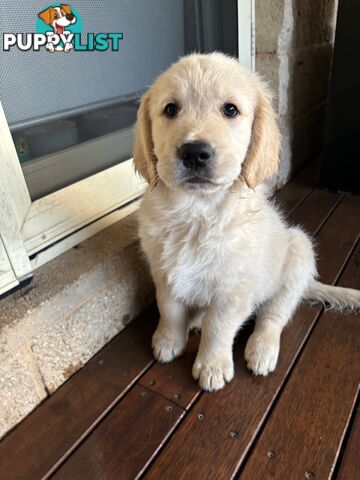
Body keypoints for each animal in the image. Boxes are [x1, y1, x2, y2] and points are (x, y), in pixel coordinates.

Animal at [133, 51, 360, 390]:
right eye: (170, 109)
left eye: (230, 110)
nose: (195, 152)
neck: (197, 213)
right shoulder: (163, 273)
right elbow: (169, 309)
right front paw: (168, 340)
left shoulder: (234, 291)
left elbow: (219, 326)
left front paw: (212, 365)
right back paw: (194, 320)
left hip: (298, 254)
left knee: (273, 316)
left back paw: (261, 350)